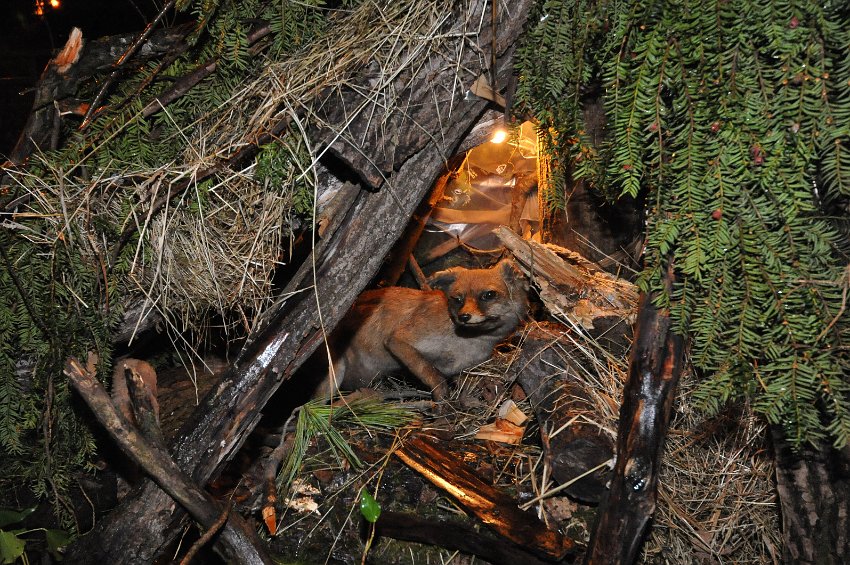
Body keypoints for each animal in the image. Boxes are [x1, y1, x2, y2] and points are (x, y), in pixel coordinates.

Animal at [316, 258, 528, 398]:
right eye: (457, 299)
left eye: (488, 295)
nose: (464, 317)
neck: (466, 344)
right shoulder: (399, 340)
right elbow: (431, 374)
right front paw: (441, 400)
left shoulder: (460, 369)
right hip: (335, 374)